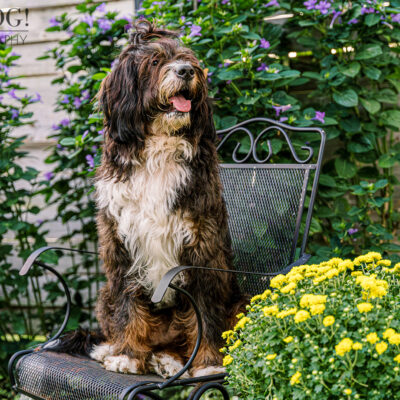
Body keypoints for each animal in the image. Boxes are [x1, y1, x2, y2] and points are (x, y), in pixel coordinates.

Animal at [53, 21, 247, 378]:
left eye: (188, 60)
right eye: (155, 62)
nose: (186, 71)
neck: (159, 148)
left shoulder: (201, 246)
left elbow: (205, 312)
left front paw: (208, 363)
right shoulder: (122, 242)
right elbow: (129, 307)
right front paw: (128, 355)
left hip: (240, 300)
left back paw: (170, 360)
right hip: (104, 295)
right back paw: (121, 350)